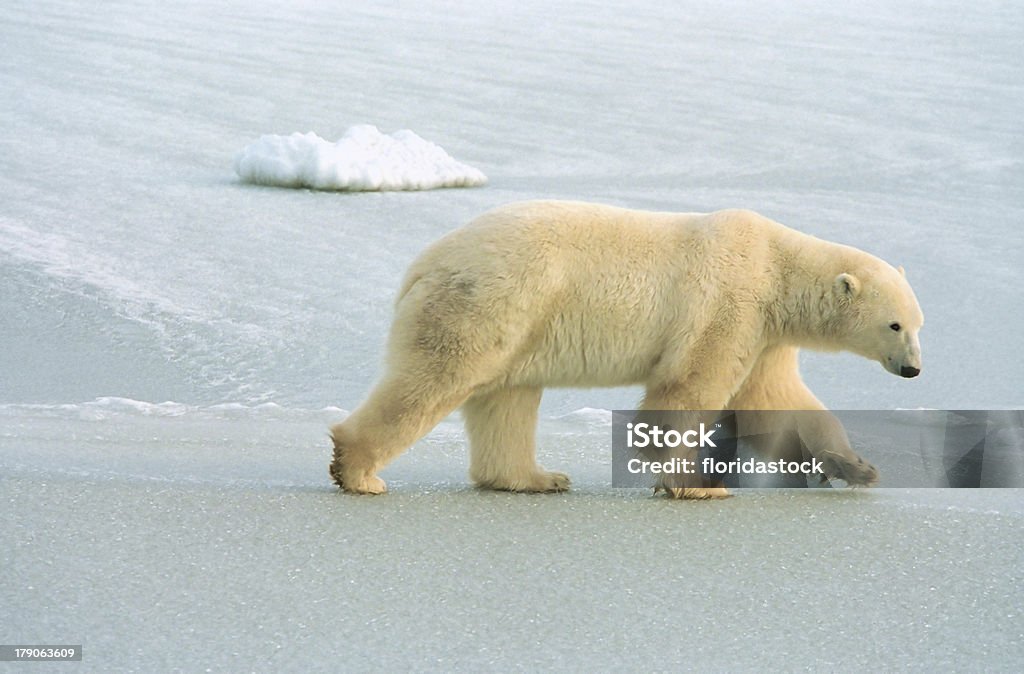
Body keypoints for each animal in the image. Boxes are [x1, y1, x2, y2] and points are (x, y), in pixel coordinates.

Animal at [331, 197, 925, 493]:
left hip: (519, 321)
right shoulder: (730, 302)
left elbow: (778, 400)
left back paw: (536, 478)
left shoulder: (764, 335)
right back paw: (357, 471)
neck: (777, 266)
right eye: (895, 326)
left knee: (507, 399)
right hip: (493, 301)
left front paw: (856, 467)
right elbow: (689, 387)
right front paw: (696, 484)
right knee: (437, 377)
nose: (914, 370)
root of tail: (423, 263)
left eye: (921, 323)